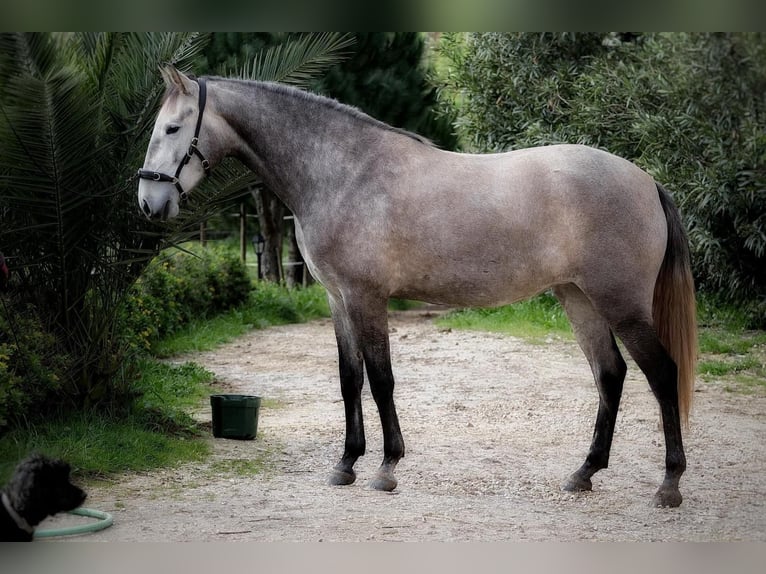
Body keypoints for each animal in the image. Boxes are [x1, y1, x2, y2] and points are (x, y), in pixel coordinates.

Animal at [136, 67, 696, 508]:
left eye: (172, 127)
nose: (147, 202)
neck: (344, 172)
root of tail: (646, 180)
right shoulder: (338, 300)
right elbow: (350, 379)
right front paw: (346, 465)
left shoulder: (367, 298)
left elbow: (381, 379)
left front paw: (386, 469)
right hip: (578, 298)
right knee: (611, 375)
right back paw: (584, 473)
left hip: (620, 305)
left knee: (662, 374)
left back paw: (669, 485)